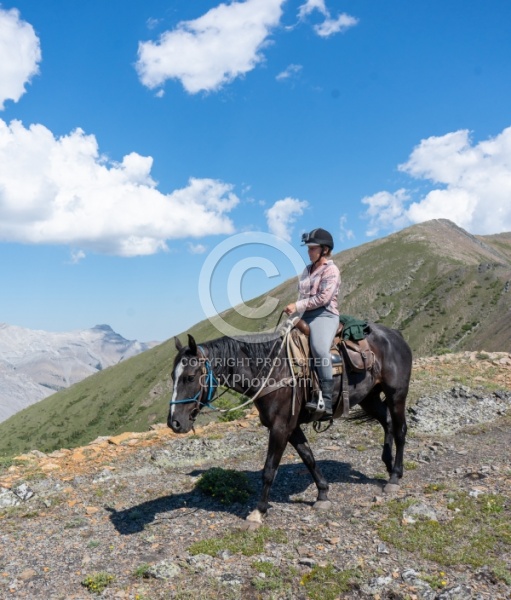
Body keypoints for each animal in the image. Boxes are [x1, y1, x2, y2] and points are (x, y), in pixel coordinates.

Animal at [170, 324, 414, 524]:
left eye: (190, 377)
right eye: (173, 376)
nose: (174, 423)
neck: (270, 371)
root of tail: (394, 335)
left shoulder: (280, 427)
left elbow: (269, 469)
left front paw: (258, 512)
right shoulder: (291, 427)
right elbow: (308, 457)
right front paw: (322, 494)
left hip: (396, 394)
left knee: (400, 430)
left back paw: (394, 477)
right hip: (369, 397)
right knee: (387, 422)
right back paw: (388, 465)